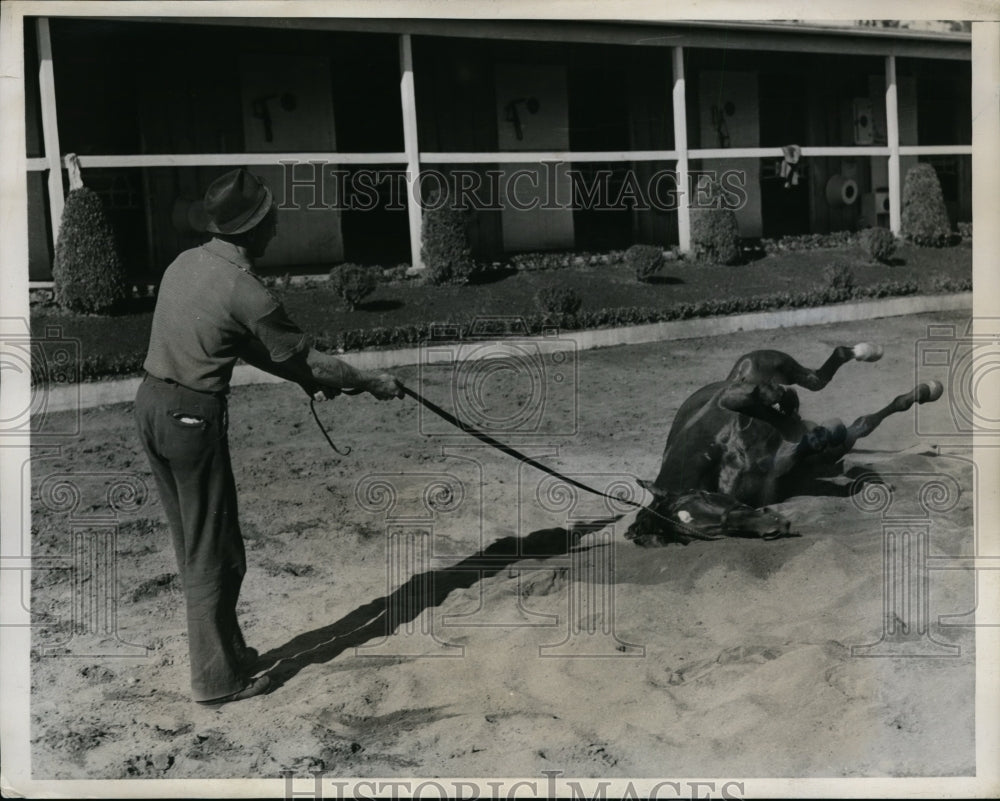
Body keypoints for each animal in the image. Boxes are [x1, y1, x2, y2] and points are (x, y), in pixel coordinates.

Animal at [624, 340, 944, 548]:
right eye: (695, 535)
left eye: (702, 498)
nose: (774, 528)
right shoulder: (798, 469)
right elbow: (842, 436)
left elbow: (741, 400)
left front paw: (777, 400)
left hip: (773, 363)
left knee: (818, 375)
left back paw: (870, 355)